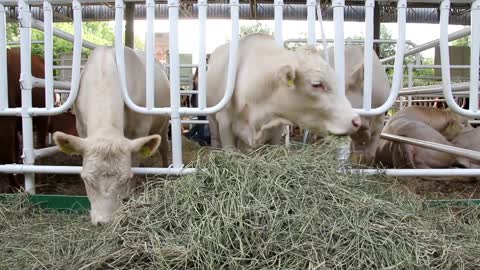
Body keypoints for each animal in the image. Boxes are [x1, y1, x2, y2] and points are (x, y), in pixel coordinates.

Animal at [53, 47, 170, 226]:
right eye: (87, 180)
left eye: (125, 179)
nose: (104, 222)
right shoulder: (81, 128)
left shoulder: (139, 131)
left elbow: (134, 163)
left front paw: (129, 196)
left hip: (163, 124)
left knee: (164, 147)